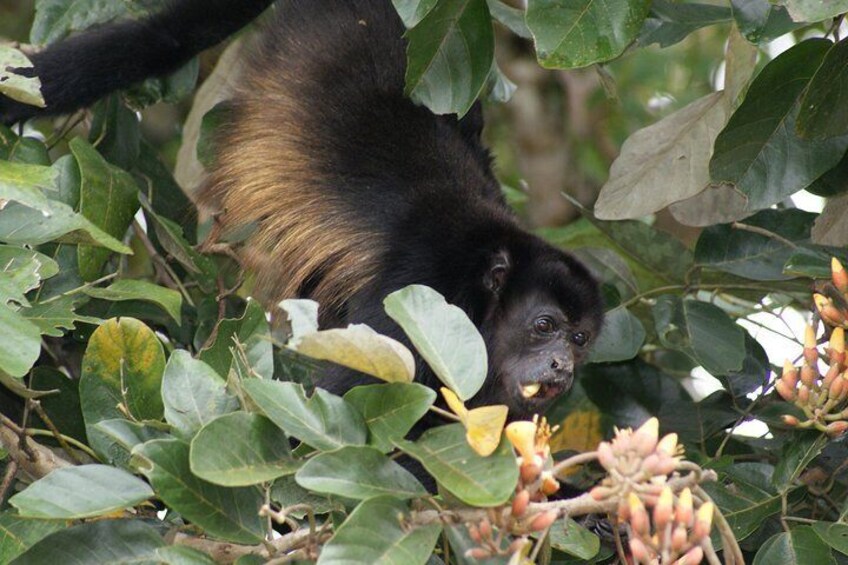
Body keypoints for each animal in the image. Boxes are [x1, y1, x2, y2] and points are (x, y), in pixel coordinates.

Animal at [3, 1, 608, 418]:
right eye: (544, 325)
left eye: (579, 340)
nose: (563, 367)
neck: (483, 270)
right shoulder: (421, 296)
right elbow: (352, 415)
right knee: (166, 36)